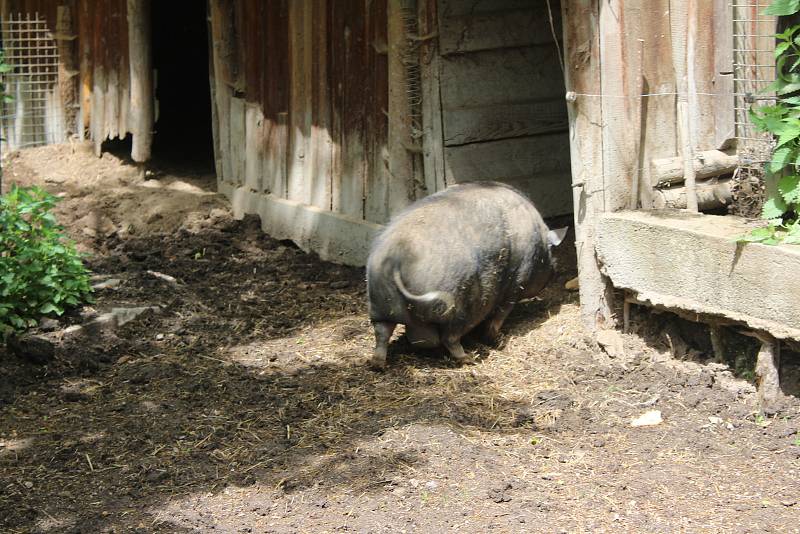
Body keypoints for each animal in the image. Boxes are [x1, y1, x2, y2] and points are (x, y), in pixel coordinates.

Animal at [366, 182, 564, 370]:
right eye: (551, 252)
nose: (556, 269)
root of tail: (397, 257)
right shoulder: (516, 284)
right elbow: (501, 314)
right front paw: (493, 338)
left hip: (380, 305)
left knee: (382, 333)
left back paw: (377, 364)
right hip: (457, 308)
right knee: (450, 338)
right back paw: (468, 359)